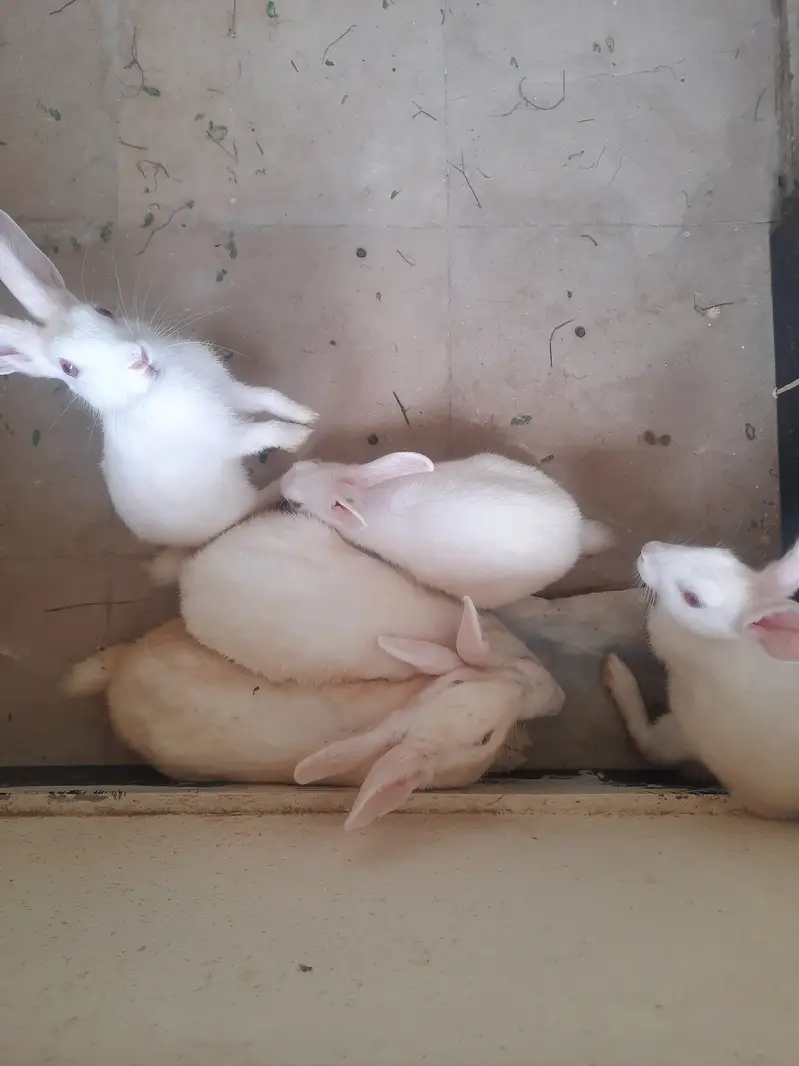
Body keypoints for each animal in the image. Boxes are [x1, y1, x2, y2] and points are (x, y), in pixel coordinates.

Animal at [0, 208, 317, 546]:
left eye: (103, 311)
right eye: (68, 368)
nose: (139, 358)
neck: (156, 387)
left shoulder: (231, 392)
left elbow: (268, 397)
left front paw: (307, 414)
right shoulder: (226, 438)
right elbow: (266, 431)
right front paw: (301, 436)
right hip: (238, 502)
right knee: (258, 501)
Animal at [602, 539, 799, 819]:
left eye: (692, 599)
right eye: (724, 554)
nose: (648, 550)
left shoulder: (686, 733)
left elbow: (649, 745)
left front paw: (615, 672)